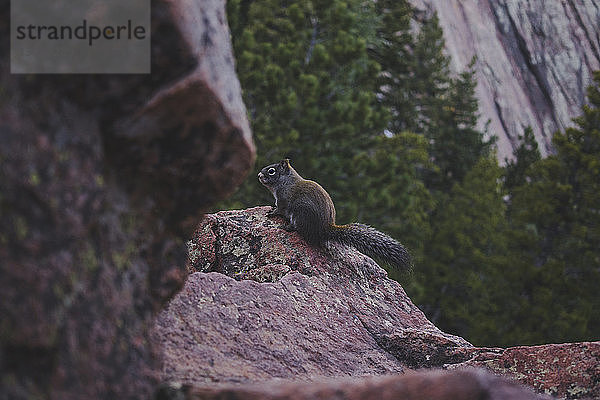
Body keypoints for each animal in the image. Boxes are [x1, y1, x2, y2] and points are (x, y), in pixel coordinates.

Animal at [258, 159, 412, 272]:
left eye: (271, 171)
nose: (259, 175)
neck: (285, 182)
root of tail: (324, 230)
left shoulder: (283, 200)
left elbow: (280, 209)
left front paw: (272, 212)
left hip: (300, 215)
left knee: (299, 229)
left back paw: (288, 227)